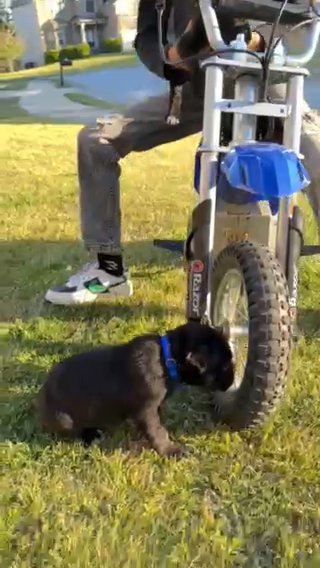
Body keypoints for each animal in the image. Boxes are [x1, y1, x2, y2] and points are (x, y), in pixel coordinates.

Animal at [38, 324, 232, 458]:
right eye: (224, 366)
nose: (231, 382)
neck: (167, 358)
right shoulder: (146, 410)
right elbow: (158, 431)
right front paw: (171, 450)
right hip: (64, 420)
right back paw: (91, 436)